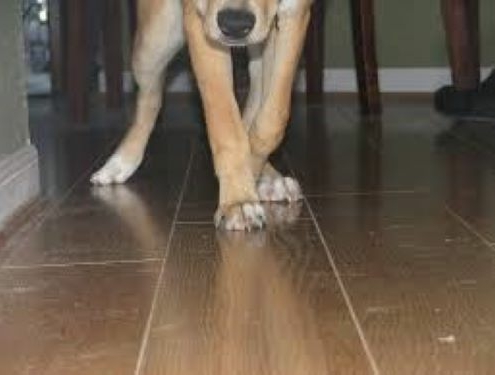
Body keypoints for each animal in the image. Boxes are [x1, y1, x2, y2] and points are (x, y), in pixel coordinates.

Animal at [91, 0, 312, 231]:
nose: (234, 25)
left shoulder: (296, 14)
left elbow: (272, 122)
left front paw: (249, 178)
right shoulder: (200, 20)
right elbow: (226, 127)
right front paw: (238, 197)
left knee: (256, 96)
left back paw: (269, 178)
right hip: (156, 39)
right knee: (149, 99)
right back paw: (120, 162)